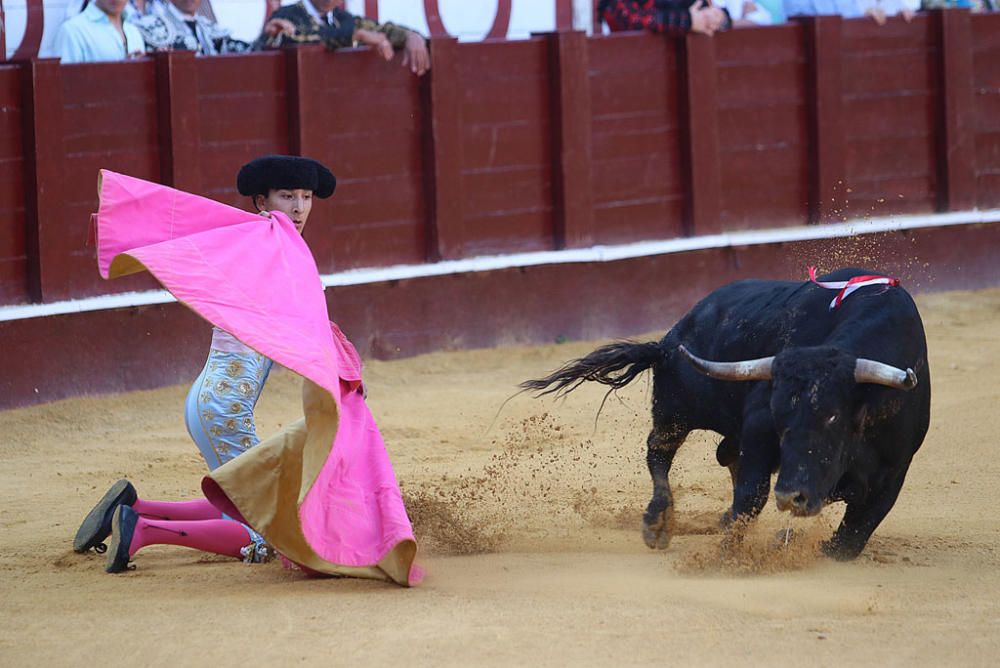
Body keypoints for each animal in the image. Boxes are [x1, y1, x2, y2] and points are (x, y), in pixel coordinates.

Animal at [524, 268, 928, 560]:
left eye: (832, 416)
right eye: (780, 418)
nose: (791, 497)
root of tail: (667, 342)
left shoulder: (895, 469)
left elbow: (851, 538)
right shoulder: (759, 427)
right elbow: (752, 494)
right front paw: (728, 550)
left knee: (724, 455)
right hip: (675, 410)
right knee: (659, 452)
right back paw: (658, 523)